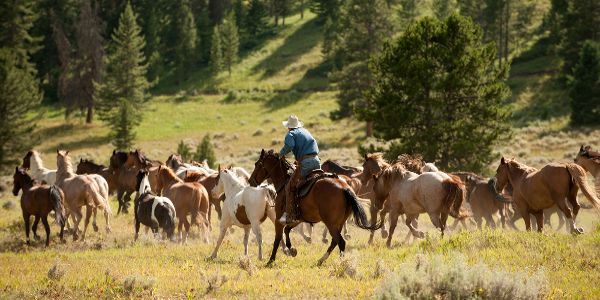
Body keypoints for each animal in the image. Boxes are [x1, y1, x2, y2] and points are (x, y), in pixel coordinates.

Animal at [247, 149, 380, 264]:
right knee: (334, 242)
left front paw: (271, 260)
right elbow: (287, 230)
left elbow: (278, 238)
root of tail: (345, 188)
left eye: (257, 164)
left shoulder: (278, 219)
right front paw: (292, 250)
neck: (284, 183)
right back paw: (321, 260)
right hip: (339, 223)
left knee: (341, 242)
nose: (250, 181)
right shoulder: (299, 218)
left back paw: (341, 264)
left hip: (331, 223)